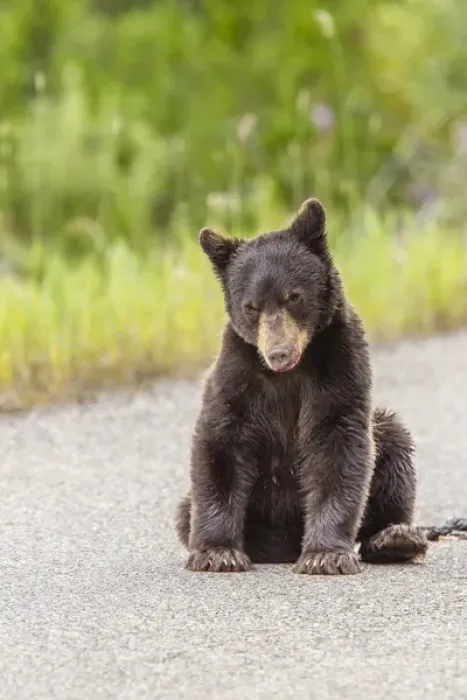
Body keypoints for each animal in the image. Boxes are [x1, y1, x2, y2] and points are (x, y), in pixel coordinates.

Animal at [174, 197, 428, 574]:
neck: (286, 375)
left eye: (292, 296)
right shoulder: (237, 376)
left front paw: (325, 554)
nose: (278, 352)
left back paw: (394, 538)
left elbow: (338, 445)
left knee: (394, 446)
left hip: (384, 437)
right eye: (251, 306)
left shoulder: (339, 367)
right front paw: (216, 552)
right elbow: (220, 443)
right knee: (184, 511)